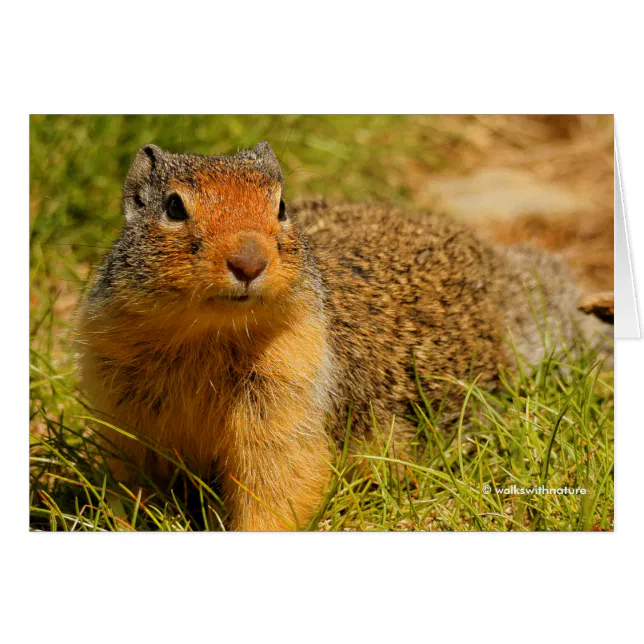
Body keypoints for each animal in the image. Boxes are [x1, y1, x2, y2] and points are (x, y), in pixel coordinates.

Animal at [74, 143, 608, 532]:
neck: (204, 334)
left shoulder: (290, 400)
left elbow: (280, 486)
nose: (249, 261)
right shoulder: (125, 414)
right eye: (173, 207)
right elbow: (134, 488)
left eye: (281, 206)